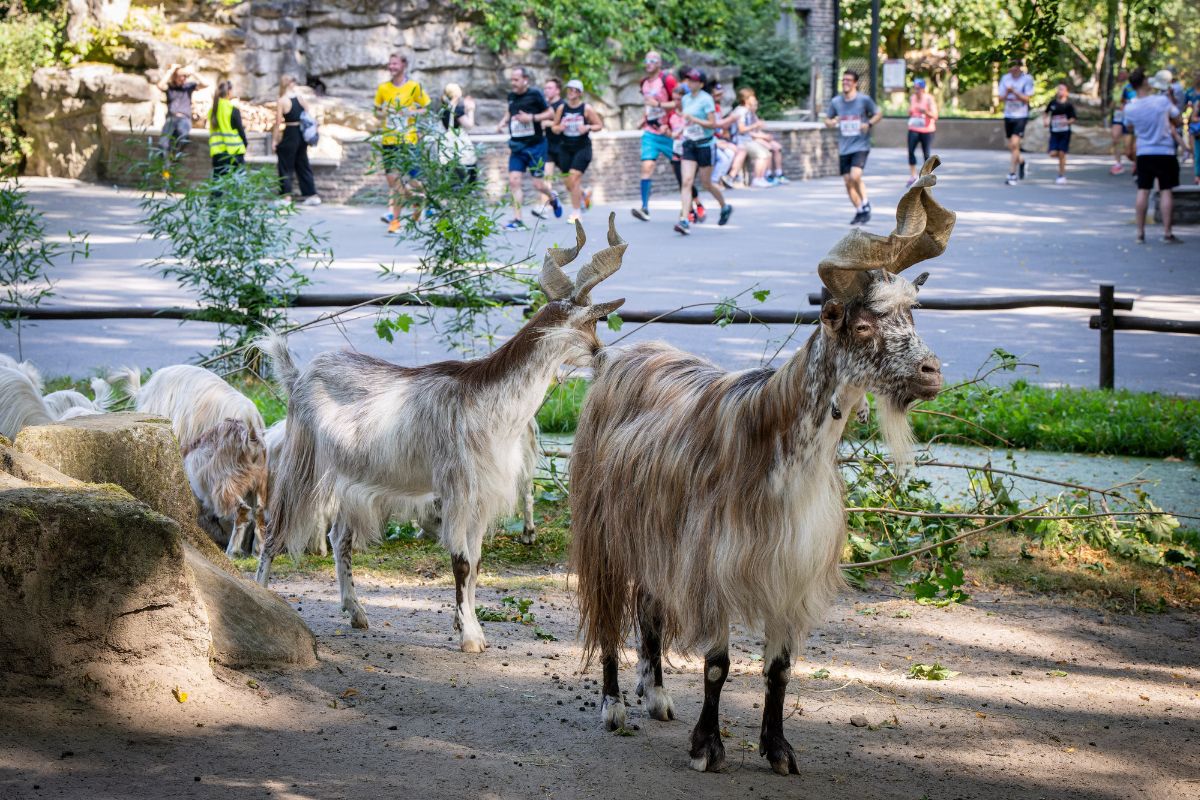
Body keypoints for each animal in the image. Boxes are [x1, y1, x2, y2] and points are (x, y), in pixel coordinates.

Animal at [255, 214, 628, 652]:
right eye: (593, 322)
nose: (603, 356)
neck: (489, 405)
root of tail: (298, 376)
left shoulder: (482, 496)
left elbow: (478, 562)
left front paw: (467, 622)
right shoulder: (458, 490)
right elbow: (461, 562)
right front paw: (470, 637)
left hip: (352, 478)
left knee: (338, 537)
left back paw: (357, 613)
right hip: (303, 463)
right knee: (274, 531)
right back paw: (260, 596)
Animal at [568, 155, 955, 777]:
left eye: (911, 316)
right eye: (863, 324)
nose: (930, 373)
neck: (779, 446)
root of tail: (613, 359)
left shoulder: (788, 570)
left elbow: (779, 670)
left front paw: (779, 749)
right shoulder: (714, 565)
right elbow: (718, 665)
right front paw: (708, 747)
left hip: (651, 534)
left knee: (649, 611)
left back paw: (656, 695)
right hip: (603, 529)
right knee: (607, 613)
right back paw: (614, 707)